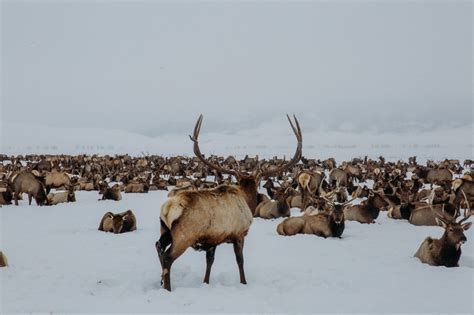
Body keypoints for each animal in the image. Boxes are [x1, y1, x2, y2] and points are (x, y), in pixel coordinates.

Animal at [156, 115, 304, 292]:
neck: (247, 200)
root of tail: (167, 209)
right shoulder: (239, 234)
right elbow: (240, 260)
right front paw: (244, 282)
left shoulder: (212, 240)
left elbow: (210, 261)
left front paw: (206, 282)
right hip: (184, 236)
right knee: (167, 258)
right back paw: (167, 288)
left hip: (165, 230)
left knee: (158, 247)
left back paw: (161, 281)